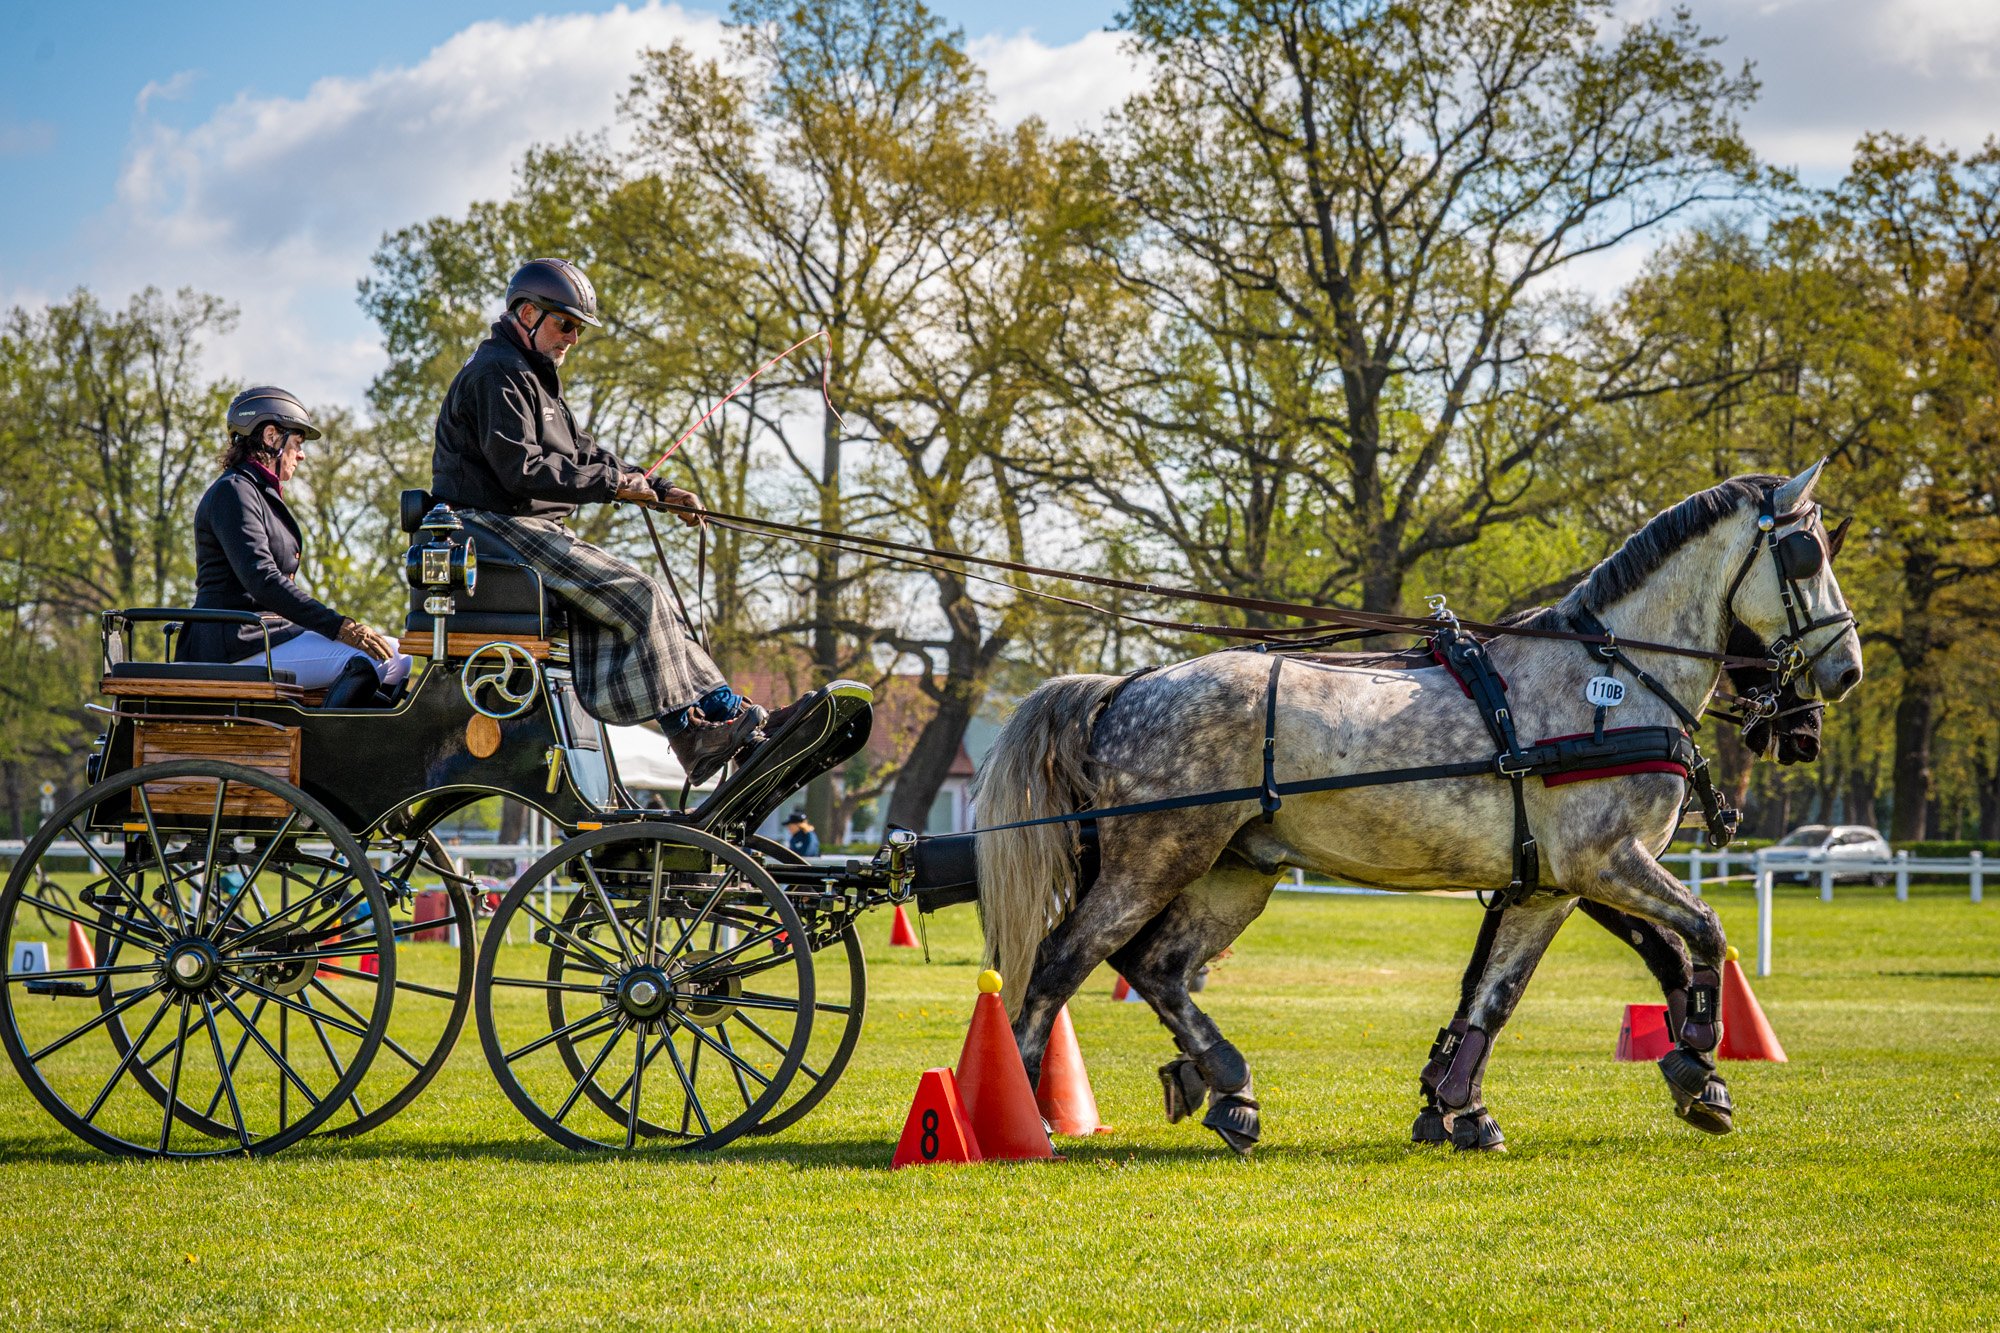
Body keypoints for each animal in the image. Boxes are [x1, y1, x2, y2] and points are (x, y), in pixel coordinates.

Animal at [972, 465, 1862, 1154]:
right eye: (1806, 555)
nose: (1842, 676)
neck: (1607, 682)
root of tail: (1126, 684)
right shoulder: (1605, 861)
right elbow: (1700, 934)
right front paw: (1700, 1061)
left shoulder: (1551, 882)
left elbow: (1497, 995)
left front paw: (1459, 1105)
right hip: (1155, 857)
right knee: (1063, 960)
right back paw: (1030, 1117)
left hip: (1235, 872)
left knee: (1156, 965)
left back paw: (1229, 1087)